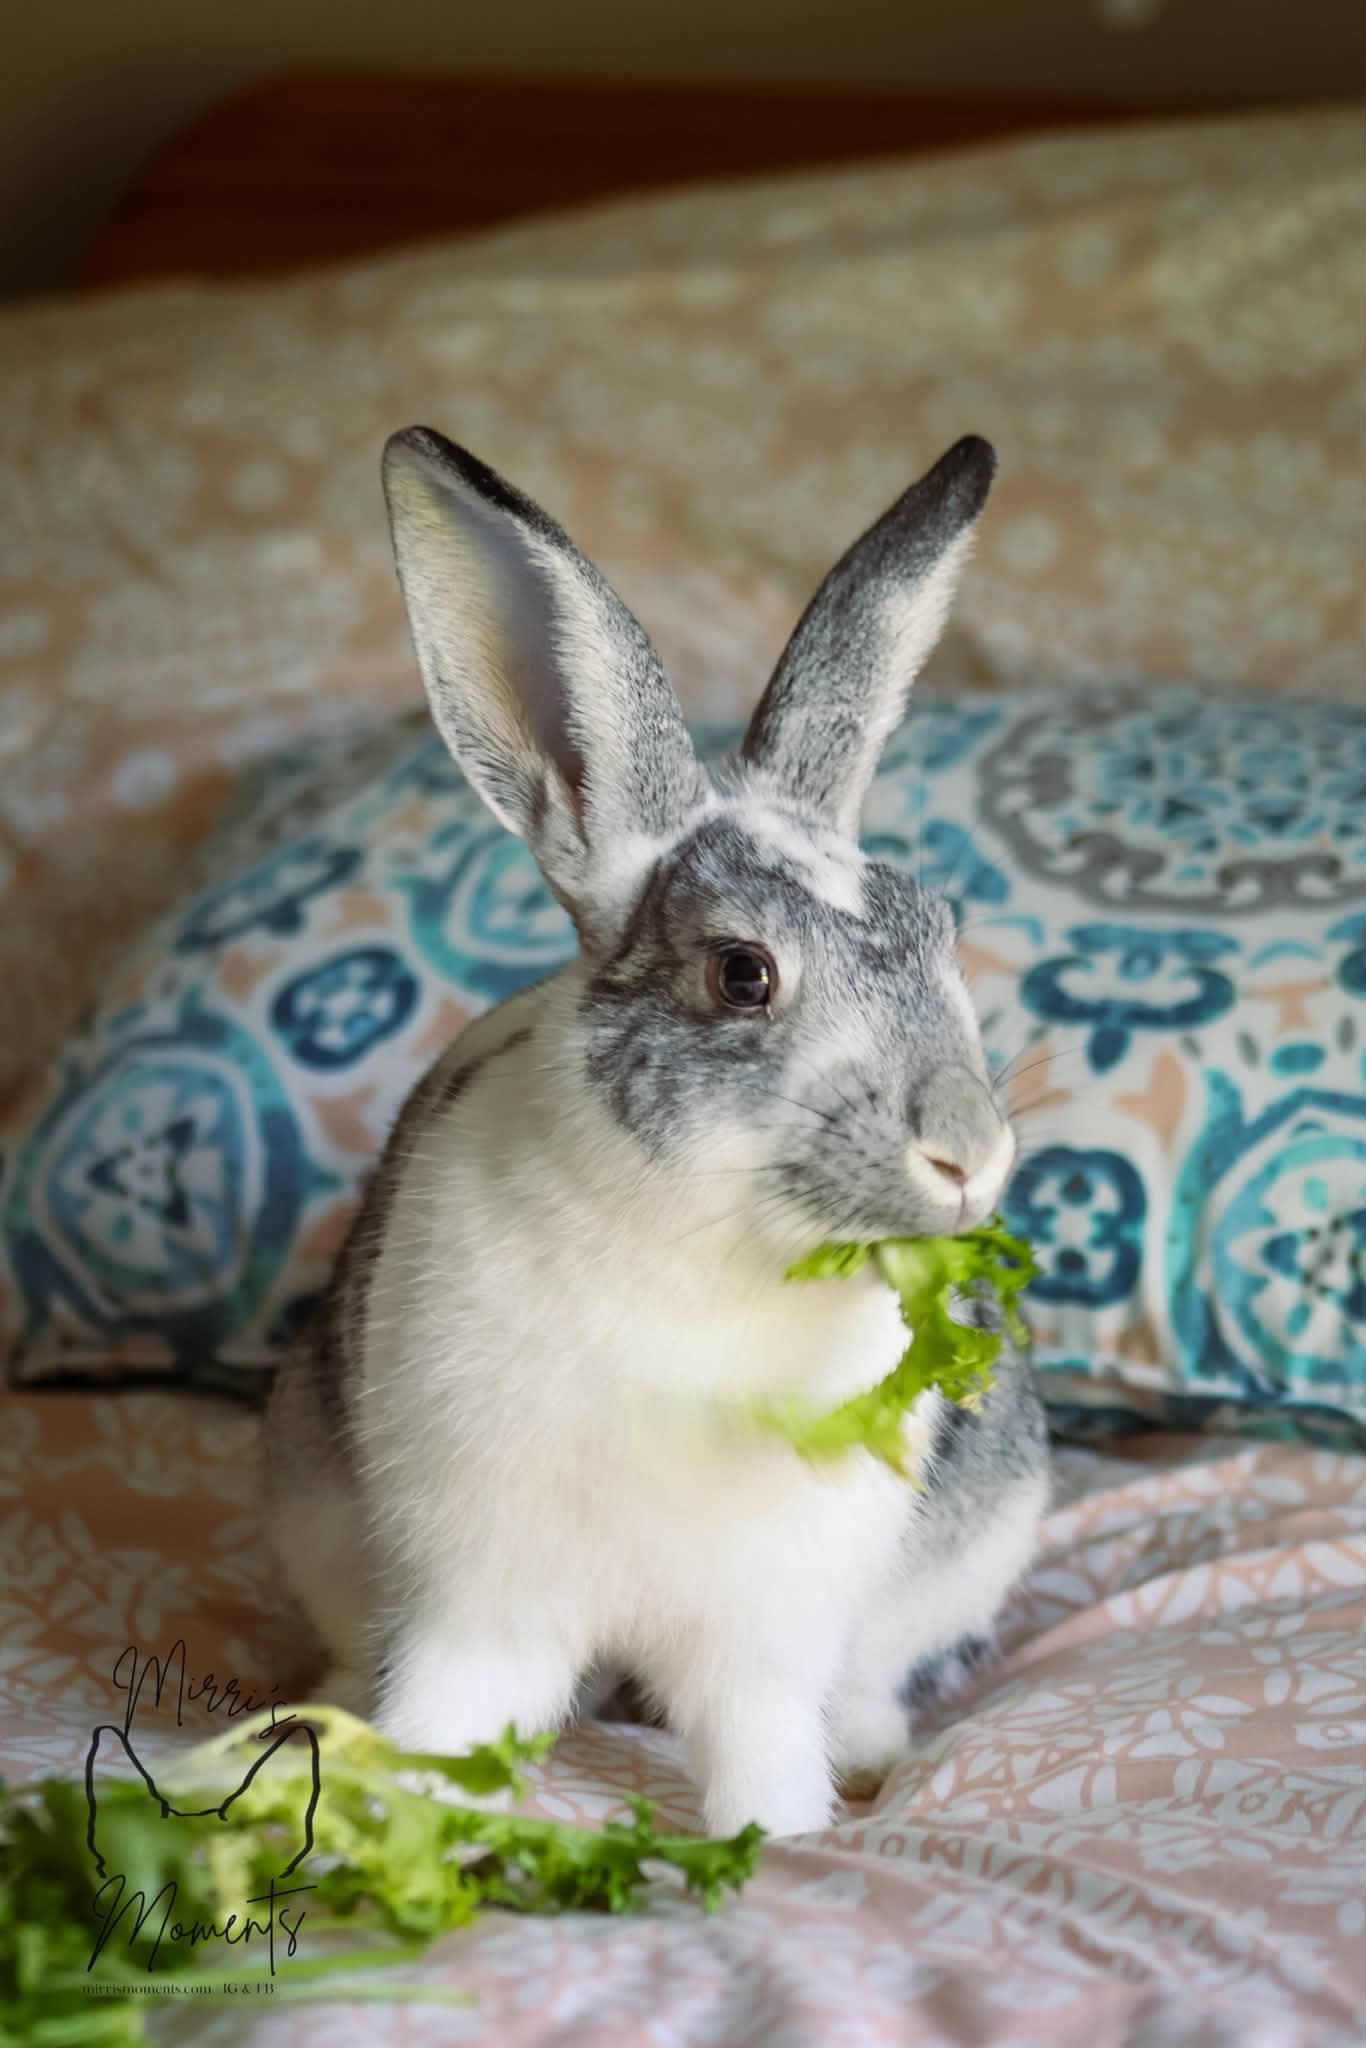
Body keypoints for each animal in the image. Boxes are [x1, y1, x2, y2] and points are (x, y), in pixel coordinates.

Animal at [262, 424, 1050, 1839]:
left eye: (942, 928)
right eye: (742, 973)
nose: (970, 1151)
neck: (703, 1243)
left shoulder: (762, 1631)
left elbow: (760, 1749)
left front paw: (783, 1840)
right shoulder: (482, 1595)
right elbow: (450, 1711)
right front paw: (405, 1821)